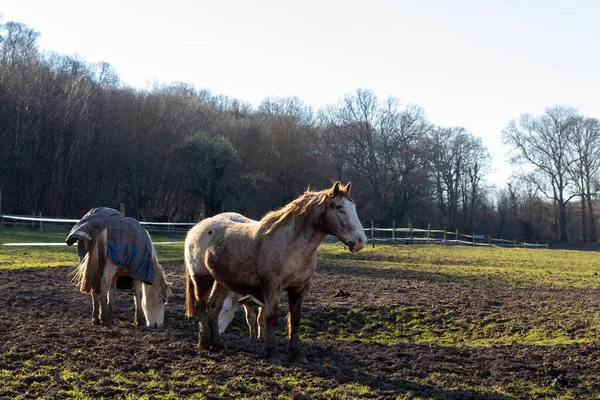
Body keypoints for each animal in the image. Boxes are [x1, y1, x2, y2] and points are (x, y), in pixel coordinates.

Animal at [185, 181, 368, 362]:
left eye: (353, 207)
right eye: (340, 208)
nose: (361, 241)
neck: (291, 246)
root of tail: (195, 229)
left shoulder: (300, 289)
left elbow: (295, 320)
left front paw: (297, 354)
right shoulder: (272, 288)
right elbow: (271, 319)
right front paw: (272, 353)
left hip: (221, 282)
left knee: (213, 307)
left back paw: (217, 344)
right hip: (202, 279)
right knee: (201, 306)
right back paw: (204, 343)